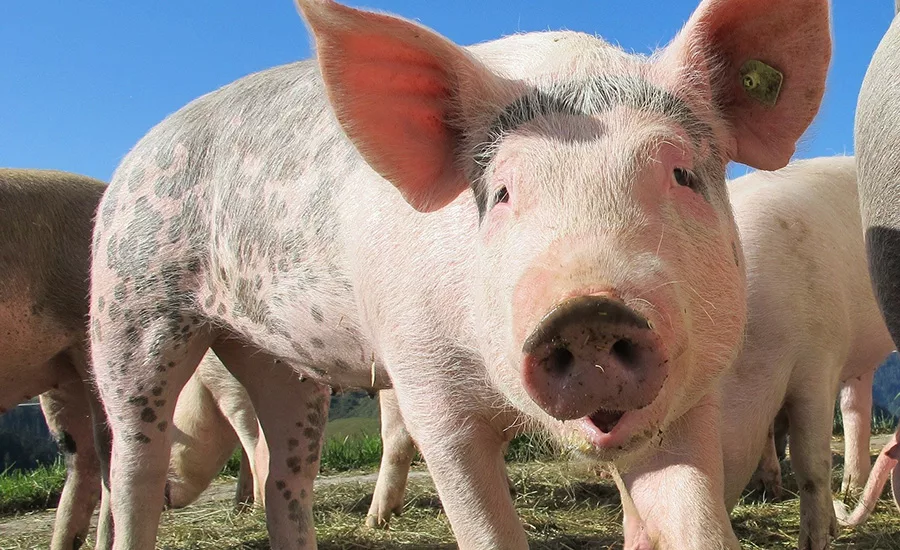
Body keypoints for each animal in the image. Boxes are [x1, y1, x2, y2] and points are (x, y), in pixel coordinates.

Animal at [87, 0, 831, 548]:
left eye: (681, 174)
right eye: (500, 193)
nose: (589, 312)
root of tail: (133, 158)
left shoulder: (692, 395)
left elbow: (698, 521)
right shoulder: (427, 390)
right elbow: (483, 523)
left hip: (281, 362)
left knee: (285, 479)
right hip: (132, 304)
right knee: (132, 469)